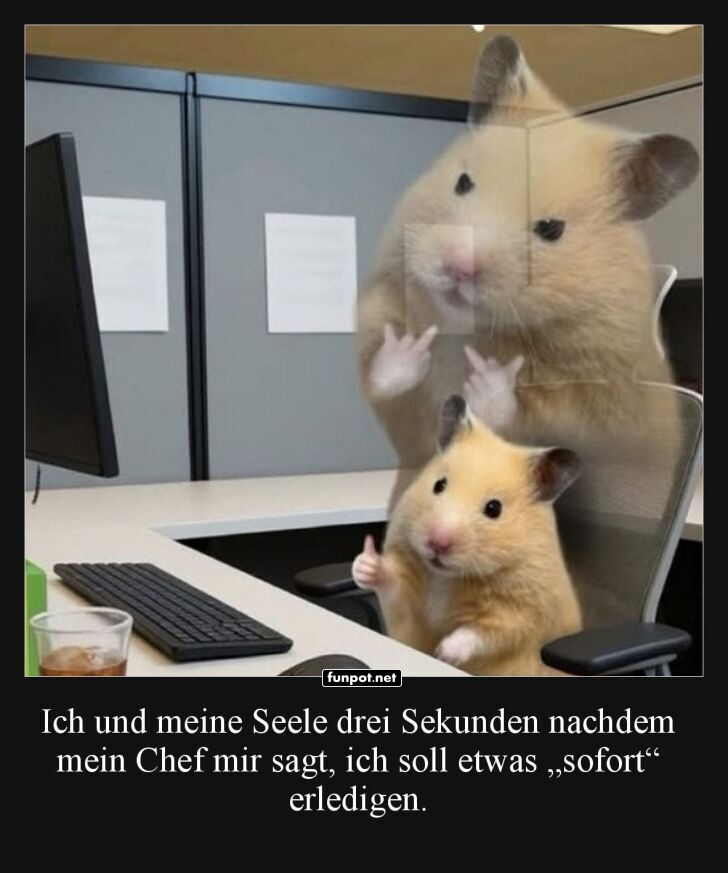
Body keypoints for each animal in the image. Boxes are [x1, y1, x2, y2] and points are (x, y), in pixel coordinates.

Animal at [352, 394, 582, 676]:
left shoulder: (524, 612)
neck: (446, 578)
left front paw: (443, 652)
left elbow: (484, 632)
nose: (437, 543)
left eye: (494, 509)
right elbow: (394, 584)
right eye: (439, 484)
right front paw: (365, 565)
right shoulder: (410, 604)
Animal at [357, 35, 700, 507]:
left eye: (551, 229)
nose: (459, 267)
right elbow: (382, 373)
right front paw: (410, 345)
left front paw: (487, 379)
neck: (466, 330)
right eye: (462, 182)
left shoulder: (598, 404)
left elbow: (528, 420)